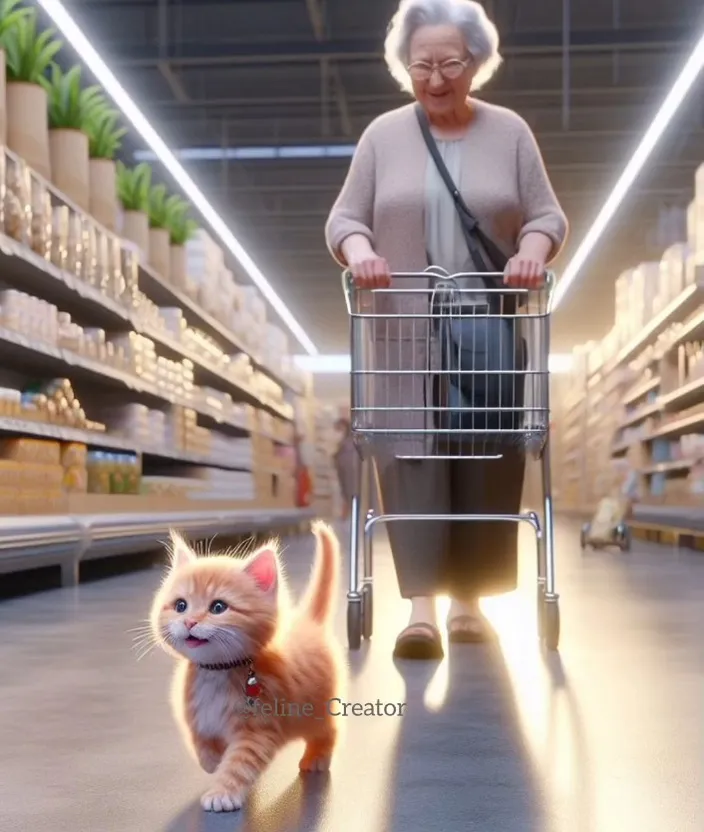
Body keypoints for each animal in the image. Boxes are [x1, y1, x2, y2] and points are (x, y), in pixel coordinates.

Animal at [151, 520, 344, 812]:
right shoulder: (196, 716)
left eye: (218, 607)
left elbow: (238, 764)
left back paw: (317, 757)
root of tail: (308, 623)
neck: (217, 672)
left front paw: (222, 793)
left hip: (315, 710)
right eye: (180, 605)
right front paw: (214, 762)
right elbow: (202, 746)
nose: (189, 622)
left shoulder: (257, 729)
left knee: (328, 730)